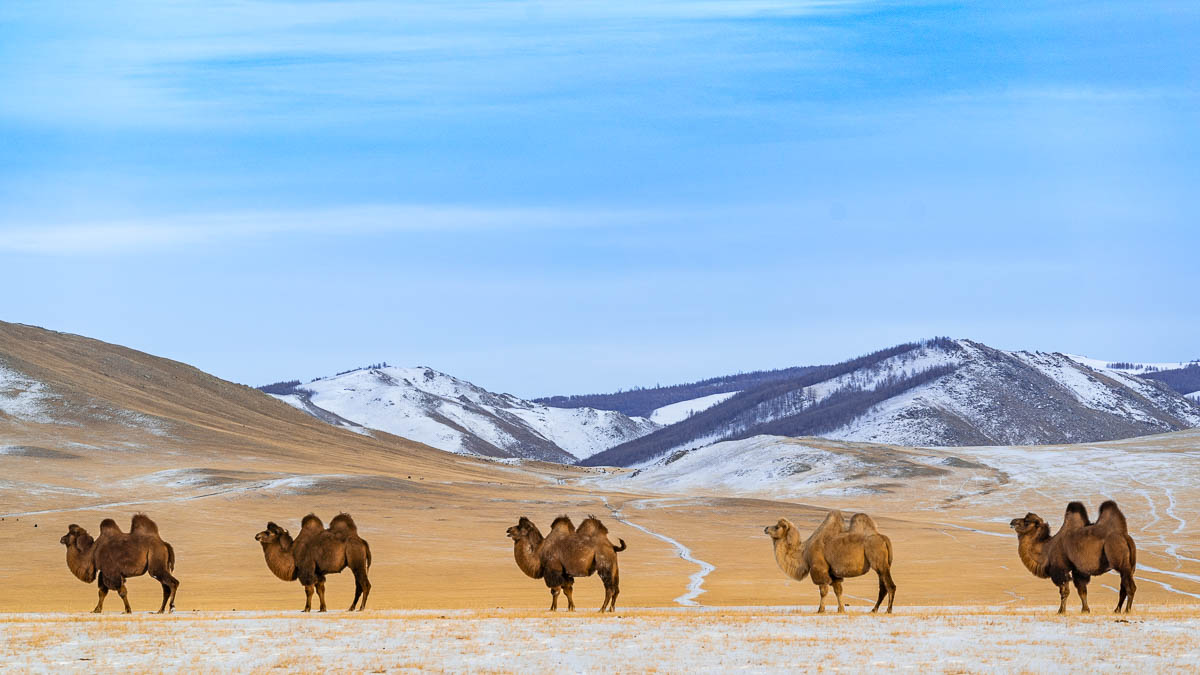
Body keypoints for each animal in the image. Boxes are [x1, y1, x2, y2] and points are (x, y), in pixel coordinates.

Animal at [763, 506, 897, 612]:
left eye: (777, 527)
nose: (766, 528)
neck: (804, 552)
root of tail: (884, 539)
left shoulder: (819, 568)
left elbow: (823, 590)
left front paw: (820, 610)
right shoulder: (833, 573)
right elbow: (838, 590)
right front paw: (841, 610)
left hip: (879, 563)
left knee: (890, 586)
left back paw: (888, 610)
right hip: (883, 565)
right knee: (883, 587)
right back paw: (874, 610)